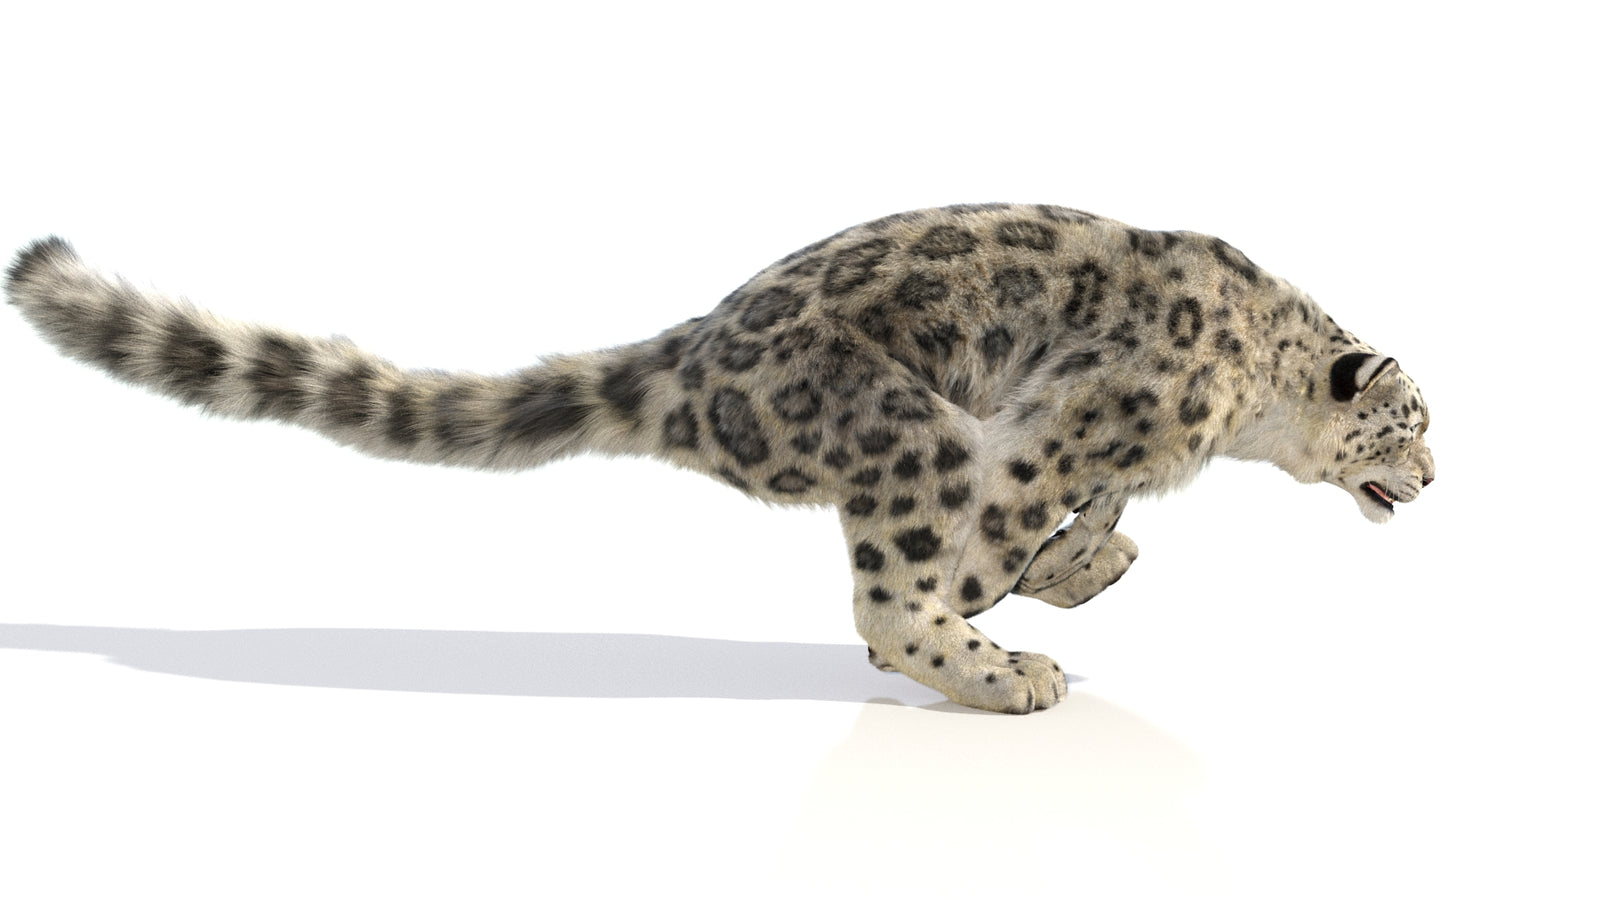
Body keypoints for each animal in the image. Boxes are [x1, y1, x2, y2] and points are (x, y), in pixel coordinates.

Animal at [5, 204, 1435, 713]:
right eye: (1415, 426)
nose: (1430, 487)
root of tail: (688, 357)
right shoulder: (1052, 429)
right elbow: (1007, 528)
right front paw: (1021, 596)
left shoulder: (1107, 458)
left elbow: (1098, 521)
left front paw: (1096, 559)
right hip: (906, 426)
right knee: (888, 590)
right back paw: (997, 672)